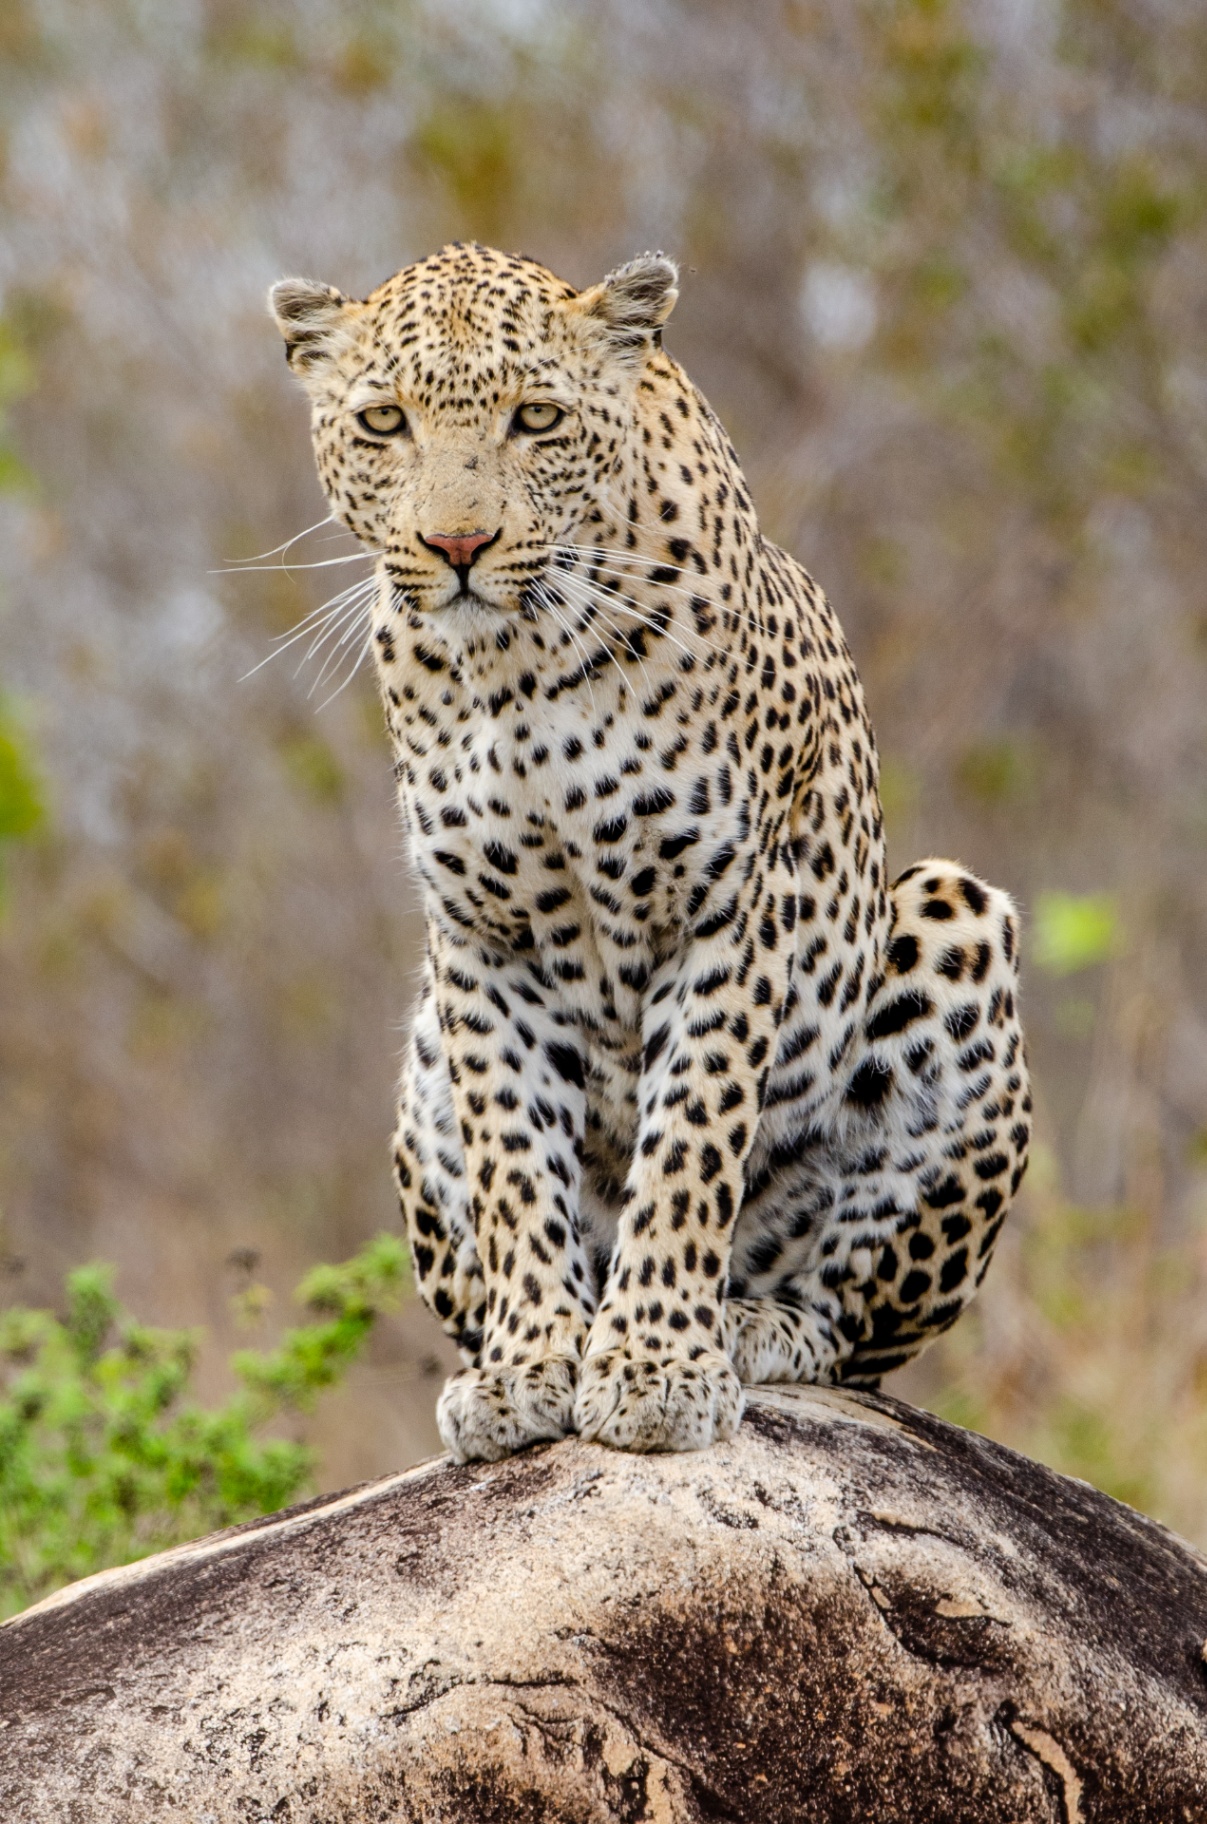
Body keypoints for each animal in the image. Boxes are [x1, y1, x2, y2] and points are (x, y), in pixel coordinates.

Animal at [269, 242, 1030, 1464]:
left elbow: (688, 1143)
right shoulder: (479, 940)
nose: (457, 545)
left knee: (851, 1325)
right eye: (385, 422)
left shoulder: (725, 910)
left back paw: (747, 1323)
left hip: (947, 916)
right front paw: (531, 1364)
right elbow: (511, 1157)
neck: (515, 668)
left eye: (535, 417)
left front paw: (655, 1366)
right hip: (422, 1049)